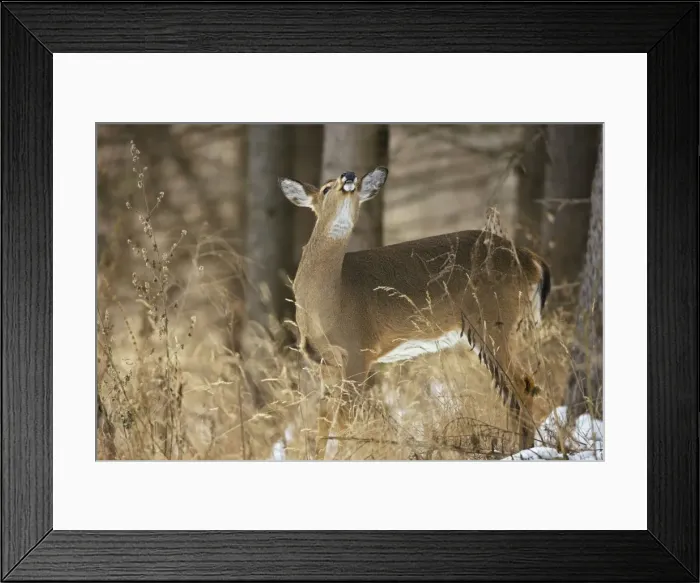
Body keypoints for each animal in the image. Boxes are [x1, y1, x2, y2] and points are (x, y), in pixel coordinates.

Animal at [279, 166, 552, 460]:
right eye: (326, 188)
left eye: (357, 184)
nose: (349, 176)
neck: (330, 299)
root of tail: (532, 259)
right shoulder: (323, 360)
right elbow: (323, 419)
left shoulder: (358, 350)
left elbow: (344, 418)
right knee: (519, 389)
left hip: (493, 320)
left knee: (523, 386)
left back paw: (523, 450)